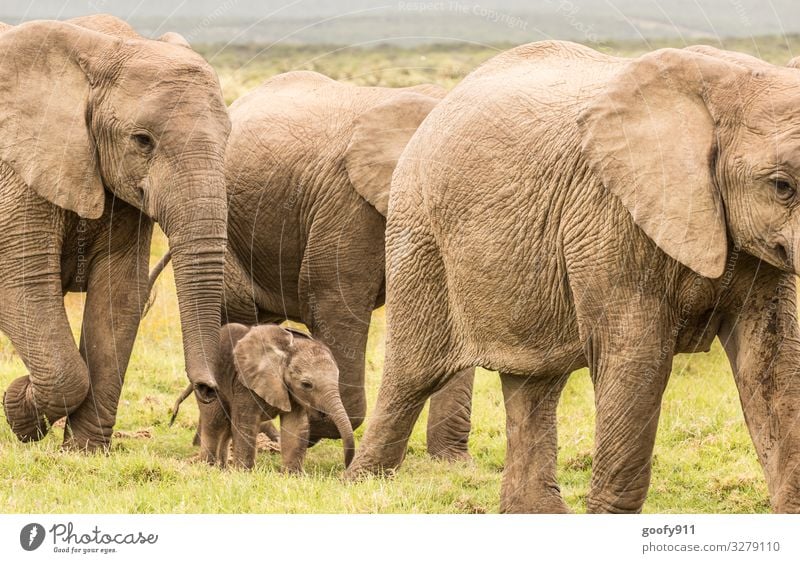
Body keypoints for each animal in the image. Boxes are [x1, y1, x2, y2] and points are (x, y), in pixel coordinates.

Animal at [0, 15, 231, 452]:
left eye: (228, 137)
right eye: (142, 141)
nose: (209, 389)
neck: (102, 48)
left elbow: (120, 294)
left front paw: (83, 452)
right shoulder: (16, 174)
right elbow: (22, 283)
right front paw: (18, 408)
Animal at [171, 322, 354, 472]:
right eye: (306, 384)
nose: (346, 465)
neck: (286, 350)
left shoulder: (292, 393)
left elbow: (295, 426)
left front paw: (293, 476)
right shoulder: (245, 383)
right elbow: (246, 423)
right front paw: (243, 473)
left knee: (227, 425)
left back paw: (222, 468)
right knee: (215, 421)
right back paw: (207, 466)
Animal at [350, 40, 800, 516]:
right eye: (781, 186)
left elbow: (772, 365)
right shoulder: (612, 218)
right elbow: (635, 360)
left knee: (533, 385)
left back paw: (534, 513)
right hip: (419, 231)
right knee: (412, 374)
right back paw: (360, 485)